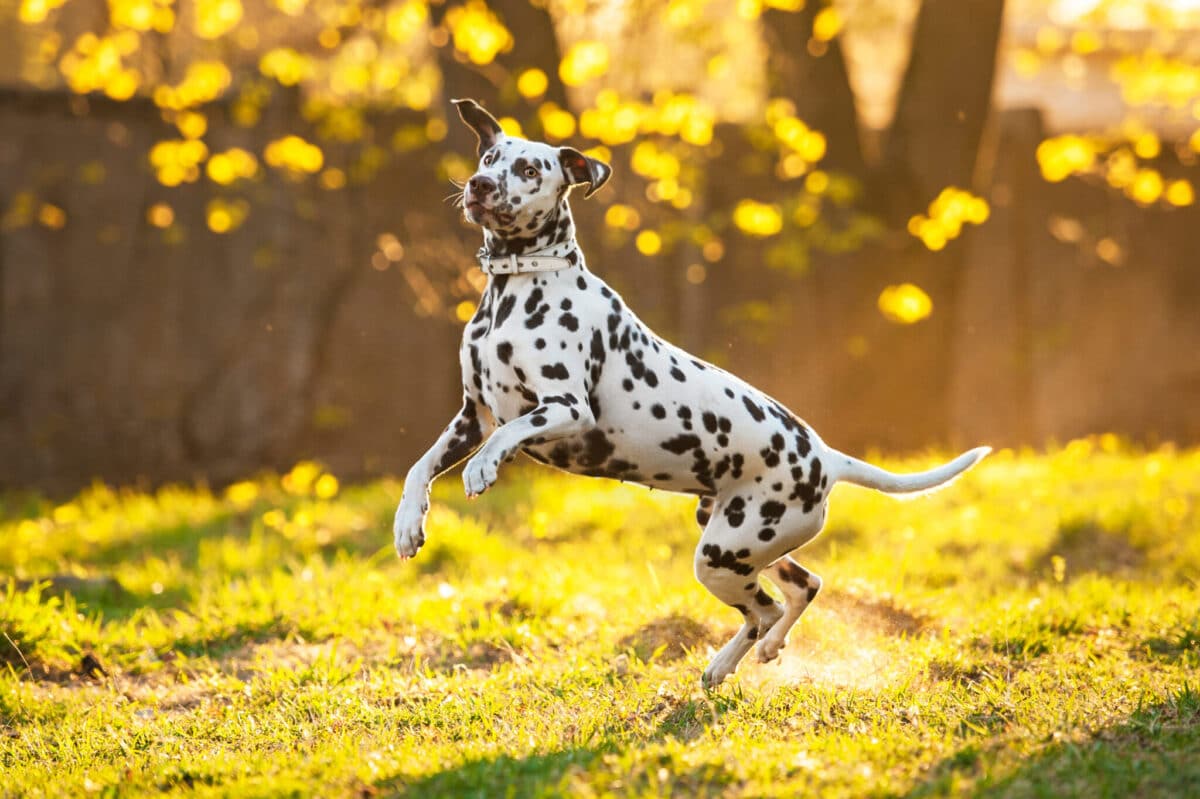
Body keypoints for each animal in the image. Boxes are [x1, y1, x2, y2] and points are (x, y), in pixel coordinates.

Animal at [396, 97, 993, 686]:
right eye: (489, 156)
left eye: (528, 169)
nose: (479, 185)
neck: (517, 289)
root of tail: (825, 456)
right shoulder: (472, 416)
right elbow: (419, 467)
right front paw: (407, 525)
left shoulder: (564, 408)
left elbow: (510, 434)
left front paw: (481, 469)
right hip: (739, 538)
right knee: (802, 587)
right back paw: (756, 653)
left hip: (723, 553)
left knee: (766, 608)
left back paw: (727, 662)